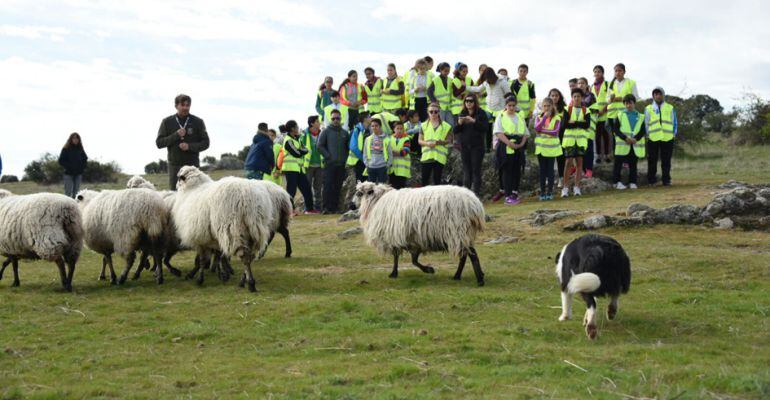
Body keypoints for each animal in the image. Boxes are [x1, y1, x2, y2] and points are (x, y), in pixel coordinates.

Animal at [172, 164, 274, 292]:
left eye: (179, 178)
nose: (175, 186)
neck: (191, 189)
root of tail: (248, 198)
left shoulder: (199, 237)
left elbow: (202, 260)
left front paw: (200, 279)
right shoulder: (213, 237)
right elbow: (218, 256)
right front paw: (222, 274)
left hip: (233, 229)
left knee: (245, 257)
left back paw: (251, 283)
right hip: (254, 231)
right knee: (250, 256)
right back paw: (243, 281)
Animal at [352, 181, 484, 284]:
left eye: (359, 193)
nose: (351, 205)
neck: (376, 203)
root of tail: (474, 205)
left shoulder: (394, 237)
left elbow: (398, 257)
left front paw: (394, 273)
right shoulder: (414, 239)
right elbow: (413, 260)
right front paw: (428, 269)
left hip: (457, 230)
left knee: (471, 254)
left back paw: (479, 280)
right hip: (463, 233)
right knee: (465, 254)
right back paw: (459, 276)